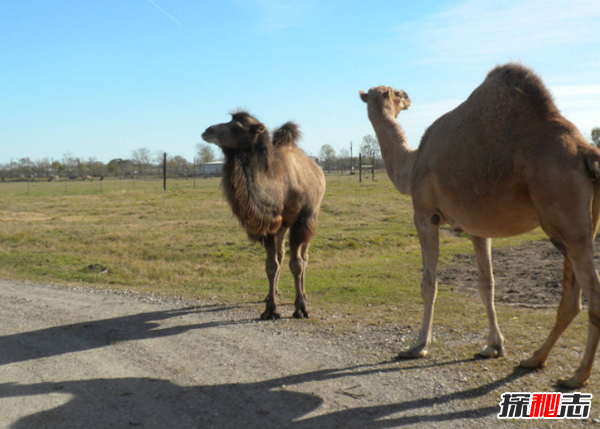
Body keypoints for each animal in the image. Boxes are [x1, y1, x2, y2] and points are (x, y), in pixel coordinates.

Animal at [202, 110, 326, 318]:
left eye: (236, 127)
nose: (207, 131)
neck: (280, 186)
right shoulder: (268, 225)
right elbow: (271, 265)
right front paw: (270, 309)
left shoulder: (299, 221)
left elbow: (297, 264)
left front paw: (300, 308)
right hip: (282, 226)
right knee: (281, 255)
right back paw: (272, 294)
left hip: (312, 217)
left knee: (304, 256)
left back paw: (304, 294)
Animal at [358, 63, 600, 388]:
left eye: (394, 92)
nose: (407, 96)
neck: (411, 165)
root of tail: (587, 152)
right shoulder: (477, 228)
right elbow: (487, 284)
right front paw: (494, 346)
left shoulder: (425, 214)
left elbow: (429, 284)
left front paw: (418, 346)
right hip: (573, 227)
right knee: (572, 299)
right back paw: (535, 359)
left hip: (565, 218)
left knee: (592, 298)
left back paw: (577, 376)